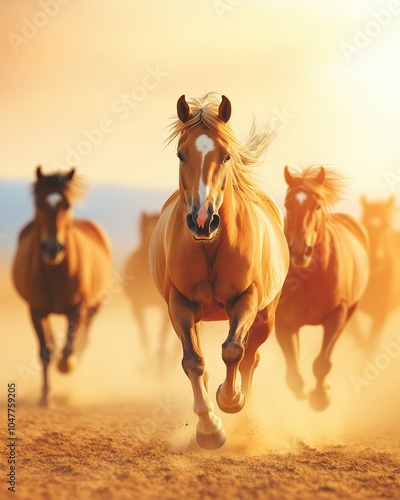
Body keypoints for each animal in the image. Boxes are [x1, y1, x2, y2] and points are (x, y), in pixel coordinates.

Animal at [12, 168, 111, 406]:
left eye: (67, 204)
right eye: (39, 204)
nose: (52, 248)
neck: (55, 273)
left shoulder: (77, 309)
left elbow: (69, 347)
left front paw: (67, 366)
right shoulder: (35, 311)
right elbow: (46, 351)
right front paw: (45, 396)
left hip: (95, 306)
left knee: (83, 338)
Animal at [123, 211, 177, 376]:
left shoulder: (166, 310)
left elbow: (162, 337)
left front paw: (160, 371)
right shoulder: (137, 306)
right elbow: (145, 337)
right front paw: (148, 367)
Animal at [148, 94, 290, 450]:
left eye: (225, 156)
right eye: (181, 154)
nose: (202, 220)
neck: (210, 246)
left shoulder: (246, 298)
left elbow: (233, 350)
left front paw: (230, 399)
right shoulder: (180, 305)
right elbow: (193, 362)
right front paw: (209, 429)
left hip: (266, 316)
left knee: (250, 356)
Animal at [276, 167, 368, 410]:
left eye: (316, 206)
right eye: (288, 204)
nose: (300, 251)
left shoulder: (337, 315)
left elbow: (321, 362)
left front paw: (320, 398)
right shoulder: (284, 321)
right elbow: (292, 370)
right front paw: (302, 390)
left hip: (350, 311)